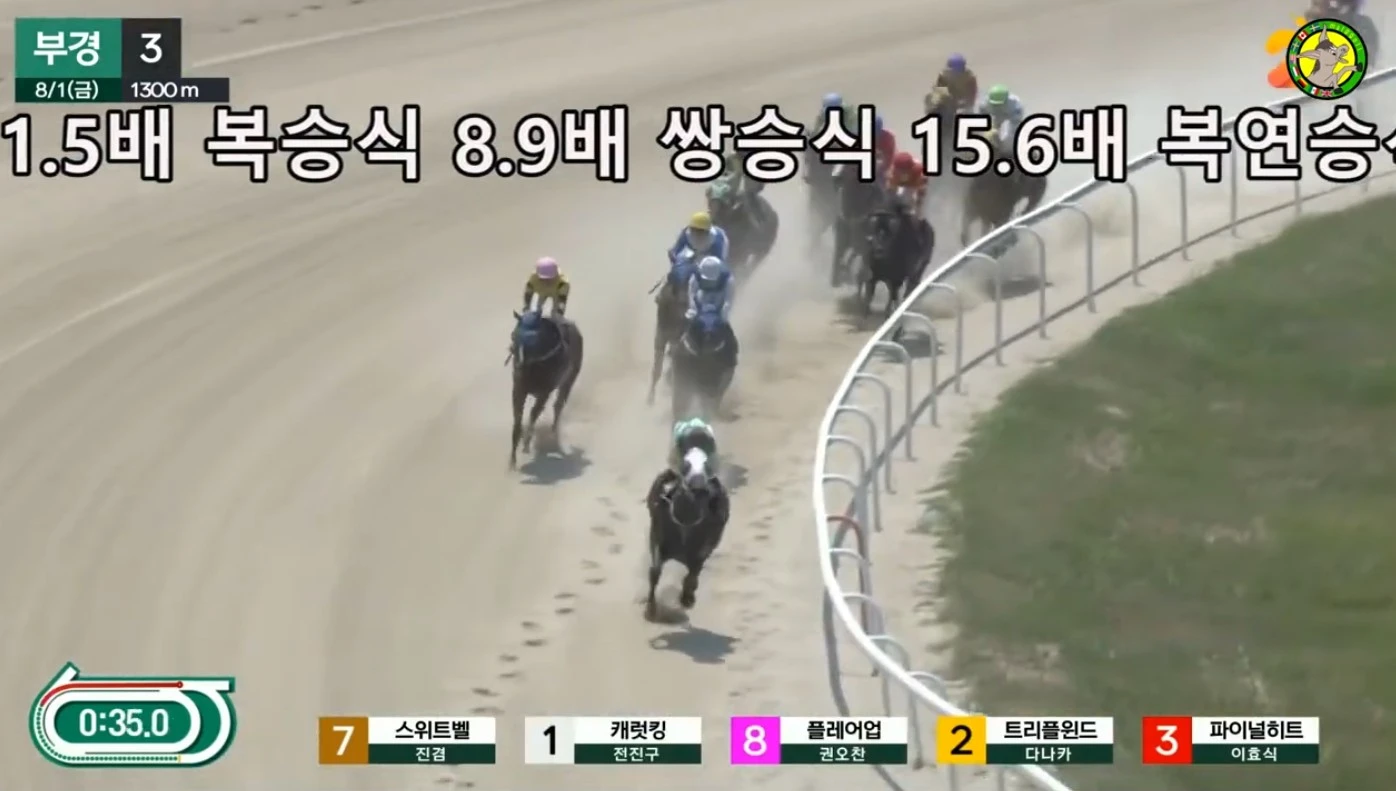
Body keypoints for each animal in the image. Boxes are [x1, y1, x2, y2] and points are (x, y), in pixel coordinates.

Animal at [508, 310, 584, 469]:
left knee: (558, 405)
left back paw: (553, 433)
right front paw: (511, 462)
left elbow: (534, 414)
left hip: (570, 379)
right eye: (514, 335)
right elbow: (517, 421)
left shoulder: (545, 391)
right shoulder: (519, 389)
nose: (519, 364)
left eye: (533, 338)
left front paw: (526, 443)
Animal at [644, 444, 729, 620]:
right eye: (686, 465)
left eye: (706, 465)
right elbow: (655, 572)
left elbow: (692, 576)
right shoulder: (657, 539)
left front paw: (687, 599)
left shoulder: (704, 550)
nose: (698, 483)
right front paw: (650, 609)